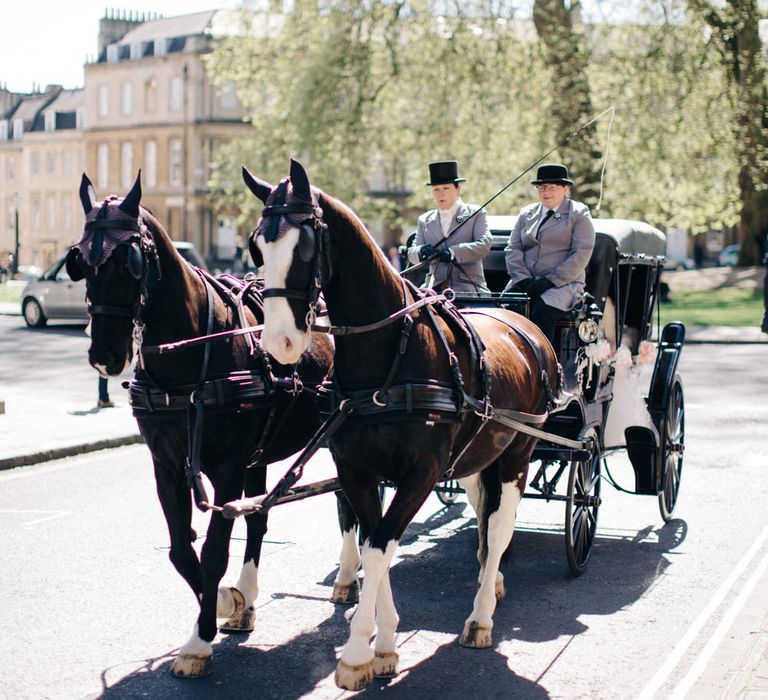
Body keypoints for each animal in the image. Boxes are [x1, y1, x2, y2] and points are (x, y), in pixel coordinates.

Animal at [62, 174, 332, 680]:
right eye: (81, 262)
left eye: (130, 261)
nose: (105, 354)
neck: (188, 359)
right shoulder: (168, 465)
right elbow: (182, 551)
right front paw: (227, 600)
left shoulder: (226, 467)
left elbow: (213, 551)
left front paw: (199, 640)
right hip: (259, 454)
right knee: (259, 517)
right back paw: (248, 598)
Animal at [243, 161, 560, 692]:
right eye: (255, 247)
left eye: (305, 246)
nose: (280, 343)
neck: (388, 357)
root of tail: (523, 324)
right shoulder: (357, 471)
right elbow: (377, 544)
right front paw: (384, 646)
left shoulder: (421, 473)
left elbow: (379, 549)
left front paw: (356, 654)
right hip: (477, 456)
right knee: (484, 512)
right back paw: (488, 579)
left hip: (519, 451)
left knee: (500, 527)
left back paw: (481, 616)